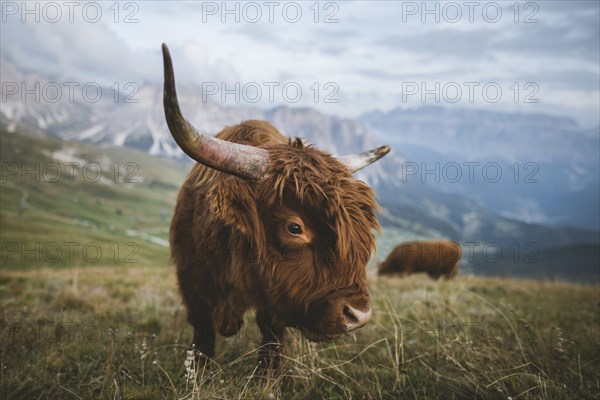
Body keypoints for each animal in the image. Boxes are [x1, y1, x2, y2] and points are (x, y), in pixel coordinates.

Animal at [162, 44, 392, 368]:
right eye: (294, 227)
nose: (358, 315)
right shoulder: (193, 286)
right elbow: (203, 338)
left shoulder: (274, 303)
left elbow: (272, 340)